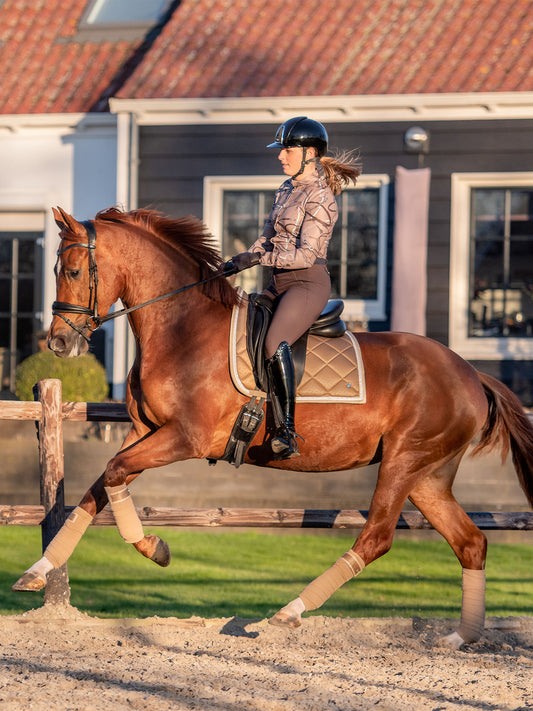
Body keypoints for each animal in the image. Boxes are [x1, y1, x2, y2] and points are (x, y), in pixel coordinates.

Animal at [14, 207, 528, 652]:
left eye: (73, 271)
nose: (58, 342)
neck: (182, 328)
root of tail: (469, 373)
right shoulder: (144, 431)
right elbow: (100, 485)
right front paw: (38, 570)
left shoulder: (185, 437)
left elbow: (114, 473)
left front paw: (154, 547)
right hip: (427, 477)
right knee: (471, 543)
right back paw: (461, 637)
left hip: (404, 463)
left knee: (377, 537)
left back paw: (289, 611)